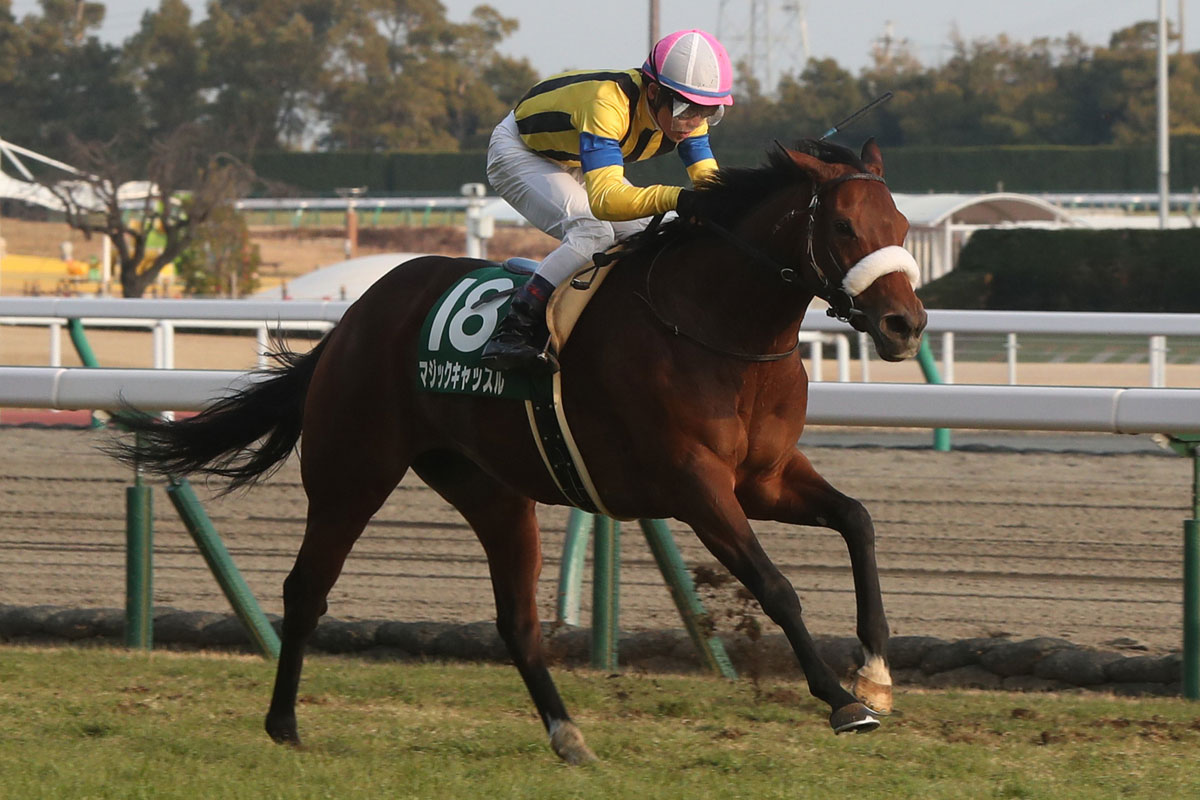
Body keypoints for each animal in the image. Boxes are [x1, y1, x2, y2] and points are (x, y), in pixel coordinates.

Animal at [112, 137, 927, 765]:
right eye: (845, 227)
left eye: (902, 223)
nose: (905, 325)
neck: (717, 329)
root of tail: (356, 316)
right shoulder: (696, 486)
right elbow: (776, 586)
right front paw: (840, 701)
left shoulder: (765, 478)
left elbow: (858, 521)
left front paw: (876, 673)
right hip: (352, 470)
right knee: (306, 589)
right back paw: (283, 724)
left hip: (493, 491)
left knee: (517, 622)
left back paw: (568, 736)